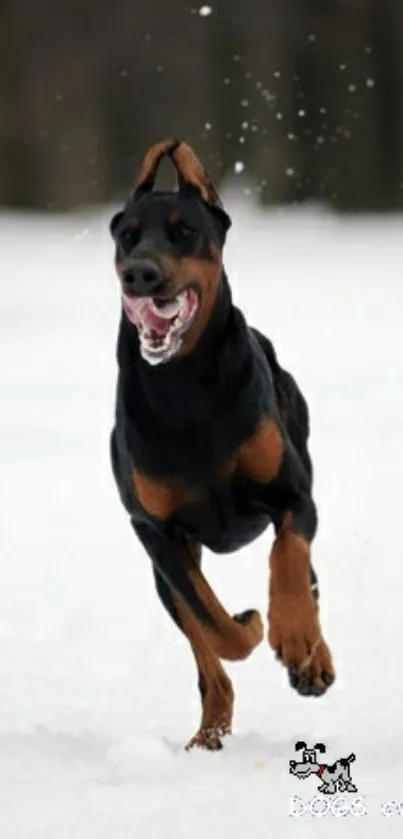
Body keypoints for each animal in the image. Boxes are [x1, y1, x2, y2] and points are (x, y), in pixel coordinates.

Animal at [108, 141, 334, 752]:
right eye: (127, 236)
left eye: (185, 231)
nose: (140, 274)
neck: (185, 387)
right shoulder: (155, 532)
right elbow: (210, 623)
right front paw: (251, 627)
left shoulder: (292, 493)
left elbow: (289, 557)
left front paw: (293, 637)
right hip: (161, 574)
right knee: (204, 652)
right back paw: (210, 732)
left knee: (308, 577)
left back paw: (313, 660)